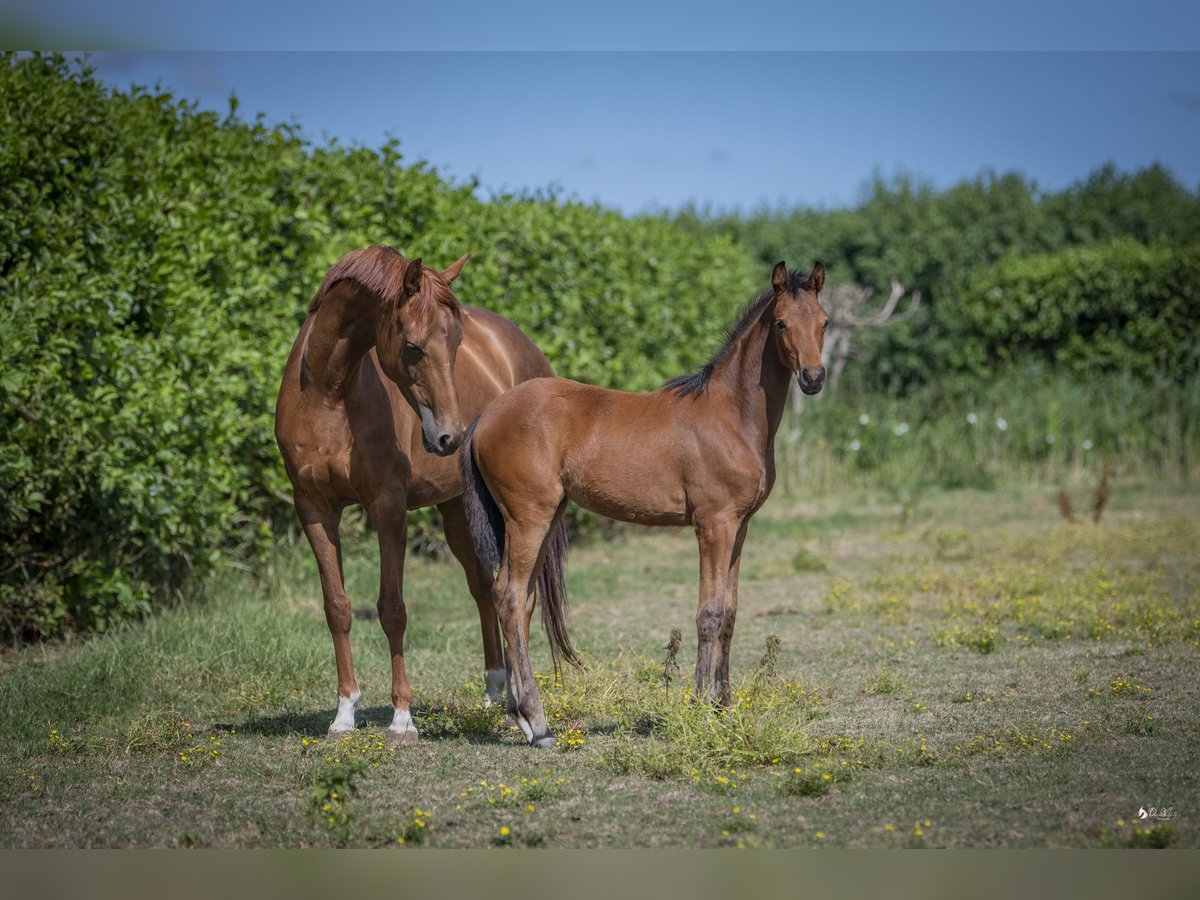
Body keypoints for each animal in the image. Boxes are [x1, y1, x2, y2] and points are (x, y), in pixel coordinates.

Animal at [274, 243, 571, 744]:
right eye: (413, 346)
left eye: (456, 344)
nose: (451, 437)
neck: (328, 395)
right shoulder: (313, 509)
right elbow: (337, 607)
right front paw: (344, 713)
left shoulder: (388, 509)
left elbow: (392, 609)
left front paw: (402, 718)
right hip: (456, 510)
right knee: (486, 589)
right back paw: (496, 693)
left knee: (519, 599)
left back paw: (521, 708)